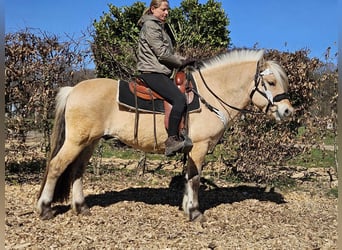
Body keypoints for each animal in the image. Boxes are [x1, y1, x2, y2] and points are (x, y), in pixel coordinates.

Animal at [36, 48, 294, 221]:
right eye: (271, 82)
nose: (287, 111)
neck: (210, 94)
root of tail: (73, 89)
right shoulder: (199, 147)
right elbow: (196, 179)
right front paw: (195, 212)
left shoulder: (191, 149)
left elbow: (188, 177)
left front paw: (187, 207)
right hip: (76, 141)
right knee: (57, 166)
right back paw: (45, 208)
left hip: (89, 142)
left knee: (77, 171)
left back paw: (81, 207)